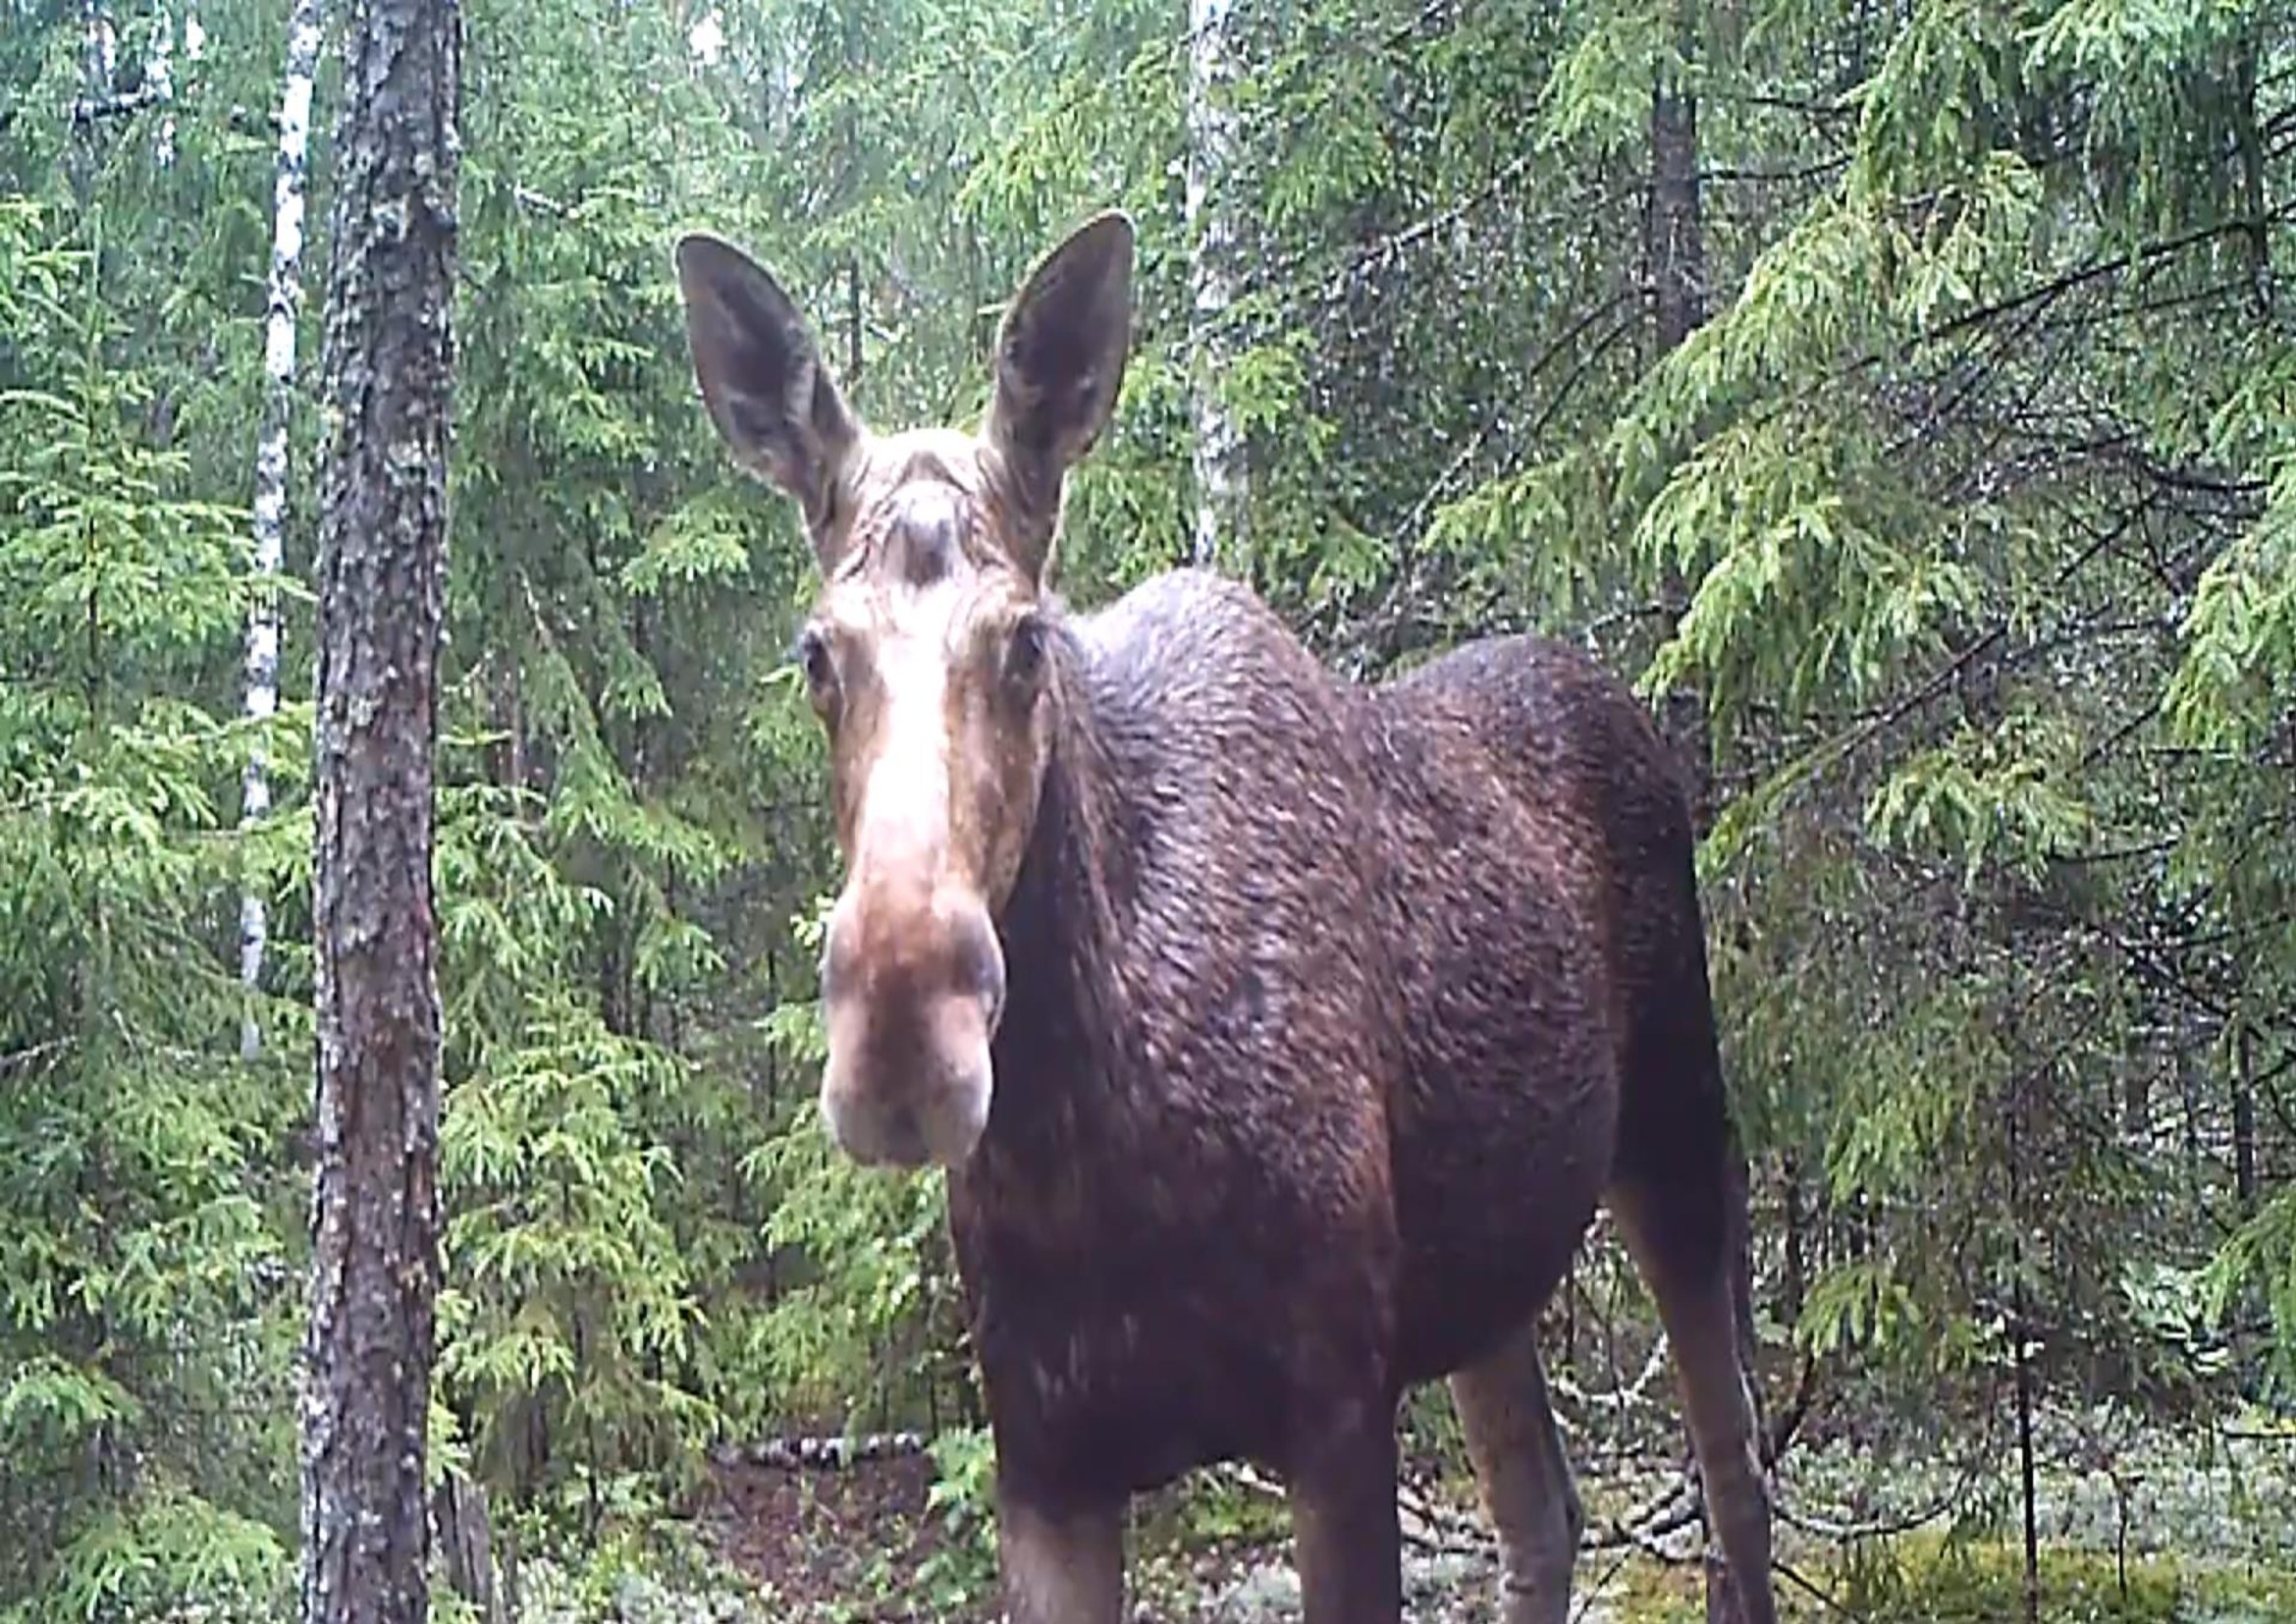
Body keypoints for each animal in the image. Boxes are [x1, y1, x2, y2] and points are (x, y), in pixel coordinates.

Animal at [669, 212, 1782, 1624]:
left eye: (1025, 639)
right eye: (816, 652)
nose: (902, 1039)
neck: (1080, 1133)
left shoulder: (1335, 1409)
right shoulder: (1046, 1457)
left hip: (1680, 1126)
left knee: (1732, 1463)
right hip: (1487, 1271)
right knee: (1543, 1507)